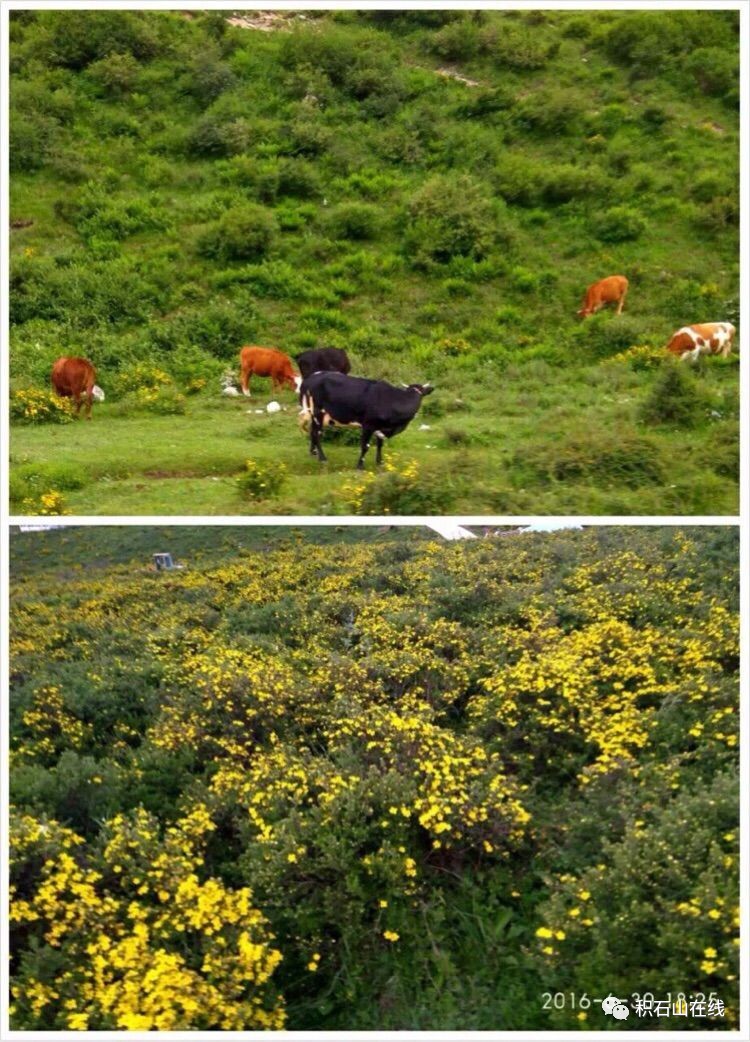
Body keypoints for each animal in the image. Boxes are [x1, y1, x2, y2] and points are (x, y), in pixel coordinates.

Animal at [297, 370, 433, 468]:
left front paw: (380, 463)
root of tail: (310, 378)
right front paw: (360, 465)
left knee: (312, 431)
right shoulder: (368, 425)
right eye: (412, 392)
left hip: (316, 415)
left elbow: (380, 444)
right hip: (318, 412)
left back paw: (313, 453)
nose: (414, 403)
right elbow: (365, 446)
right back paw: (322, 458)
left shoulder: (381, 427)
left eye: (421, 393)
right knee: (317, 434)